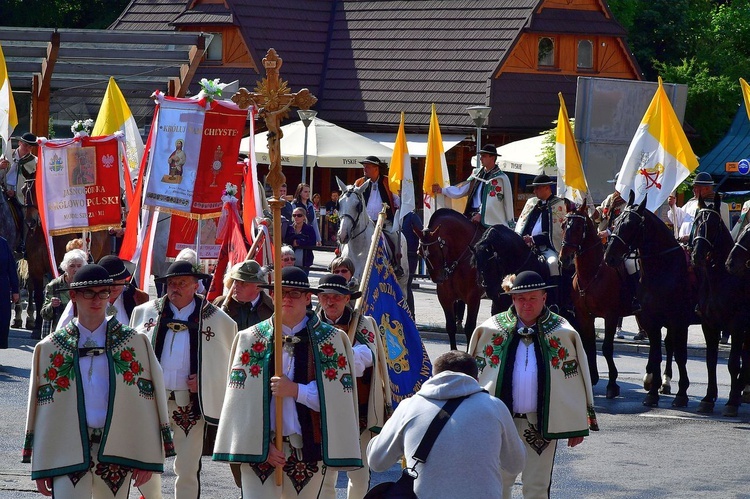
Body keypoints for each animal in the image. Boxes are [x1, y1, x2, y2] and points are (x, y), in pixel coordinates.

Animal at [420, 209, 484, 350]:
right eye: (419, 253)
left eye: (435, 251)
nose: (438, 278)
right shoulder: (445, 297)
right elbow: (450, 326)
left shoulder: (473, 297)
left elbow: (470, 328)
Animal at [564, 199, 640, 398]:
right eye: (563, 225)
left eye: (578, 227)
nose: (564, 258)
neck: (592, 273)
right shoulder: (584, 315)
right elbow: (590, 345)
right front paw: (592, 378)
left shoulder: (611, 316)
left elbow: (606, 347)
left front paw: (612, 383)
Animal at [604, 193, 696, 408]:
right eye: (616, 221)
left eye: (630, 225)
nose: (609, 256)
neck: (664, 269)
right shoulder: (652, 320)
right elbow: (655, 354)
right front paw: (653, 393)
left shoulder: (680, 322)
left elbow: (681, 355)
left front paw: (682, 394)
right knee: (668, 346)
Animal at [692, 195, 750, 418]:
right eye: (696, 222)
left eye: (713, 224)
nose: (697, 255)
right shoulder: (709, 326)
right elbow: (711, 361)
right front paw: (708, 398)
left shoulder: (737, 326)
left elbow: (733, 364)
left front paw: (732, 401)